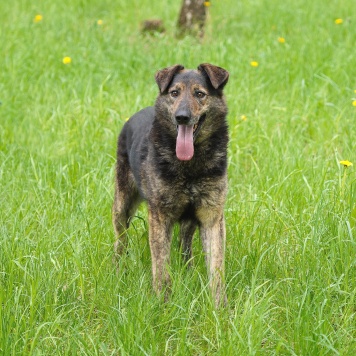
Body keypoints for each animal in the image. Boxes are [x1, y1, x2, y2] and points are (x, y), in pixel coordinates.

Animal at [112, 63, 229, 306]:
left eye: (199, 94)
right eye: (175, 93)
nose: (182, 117)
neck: (190, 164)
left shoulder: (212, 216)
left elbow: (216, 268)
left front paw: (220, 308)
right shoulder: (159, 216)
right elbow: (161, 268)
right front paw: (163, 303)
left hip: (190, 219)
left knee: (185, 244)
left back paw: (188, 271)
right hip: (122, 206)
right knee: (121, 240)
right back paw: (117, 270)